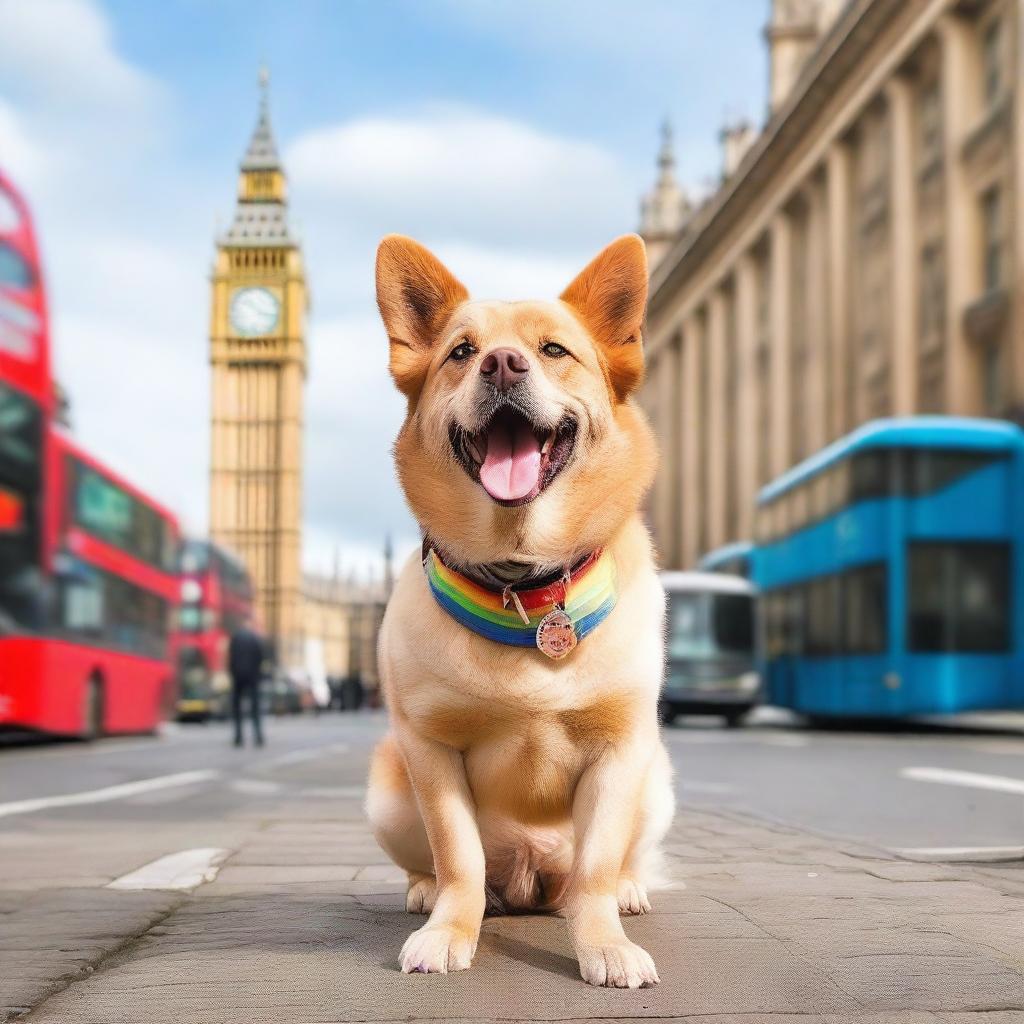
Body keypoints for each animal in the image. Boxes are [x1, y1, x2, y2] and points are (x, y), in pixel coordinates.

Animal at [366, 235, 671, 987]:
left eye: (554, 349)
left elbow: (596, 866)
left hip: (657, 783)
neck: (524, 586)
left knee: (608, 865)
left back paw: (628, 889)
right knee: (447, 866)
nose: (503, 363)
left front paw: (604, 941)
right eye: (461, 351)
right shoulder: (430, 750)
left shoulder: (622, 751)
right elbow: (459, 858)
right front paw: (451, 926)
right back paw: (424, 891)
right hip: (387, 788)